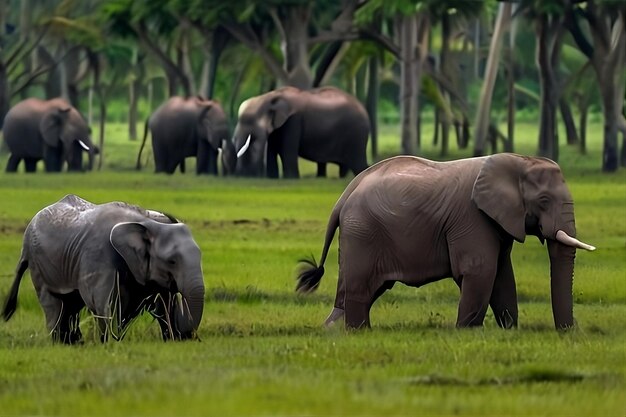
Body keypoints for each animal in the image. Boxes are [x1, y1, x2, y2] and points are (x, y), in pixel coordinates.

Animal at [3, 193, 206, 342]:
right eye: (172, 261)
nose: (191, 337)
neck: (146, 221)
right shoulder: (99, 255)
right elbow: (101, 301)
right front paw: (109, 342)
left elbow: (163, 304)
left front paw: (173, 339)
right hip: (38, 265)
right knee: (54, 305)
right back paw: (61, 343)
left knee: (71, 304)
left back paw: (75, 342)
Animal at [227, 87, 368, 178]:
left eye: (254, 137)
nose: (242, 175)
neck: (269, 97)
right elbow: (272, 149)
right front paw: (272, 178)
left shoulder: (294, 121)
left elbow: (287, 150)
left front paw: (291, 178)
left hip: (356, 135)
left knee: (358, 163)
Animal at [298, 153, 596, 332]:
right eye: (544, 200)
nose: (570, 332)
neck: (517, 161)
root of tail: (344, 196)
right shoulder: (472, 218)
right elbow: (480, 270)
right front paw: (467, 332)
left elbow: (501, 274)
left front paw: (509, 331)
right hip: (364, 233)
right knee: (361, 288)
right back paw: (357, 332)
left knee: (364, 289)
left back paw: (335, 330)